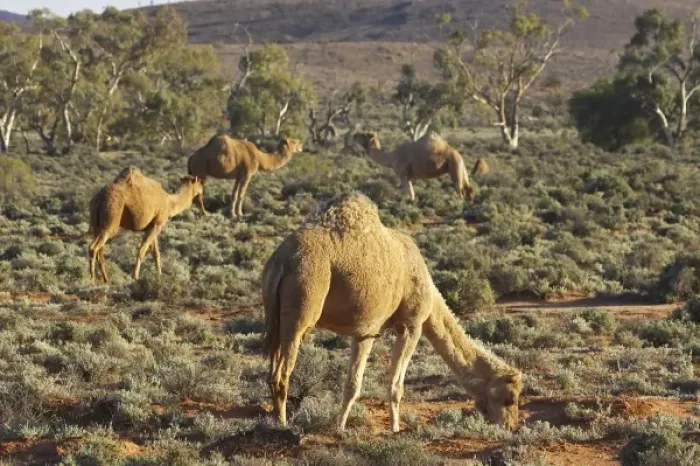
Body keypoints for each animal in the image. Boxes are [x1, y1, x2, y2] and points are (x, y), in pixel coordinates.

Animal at [262, 193, 522, 433]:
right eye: (511, 398)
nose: (511, 426)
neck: (429, 291)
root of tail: (281, 261)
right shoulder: (412, 325)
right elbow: (396, 386)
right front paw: (395, 429)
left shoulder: (366, 332)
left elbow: (352, 384)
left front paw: (340, 428)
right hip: (302, 306)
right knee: (283, 373)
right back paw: (282, 424)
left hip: (274, 319)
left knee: (272, 369)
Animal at [353, 131, 488, 201]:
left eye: (364, 134)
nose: (354, 135)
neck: (392, 157)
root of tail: (458, 154)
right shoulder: (408, 176)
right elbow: (412, 194)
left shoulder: (402, 173)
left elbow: (407, 193)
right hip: (460, 167)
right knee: (468, 187)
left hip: (454, 166)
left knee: (459, 189)